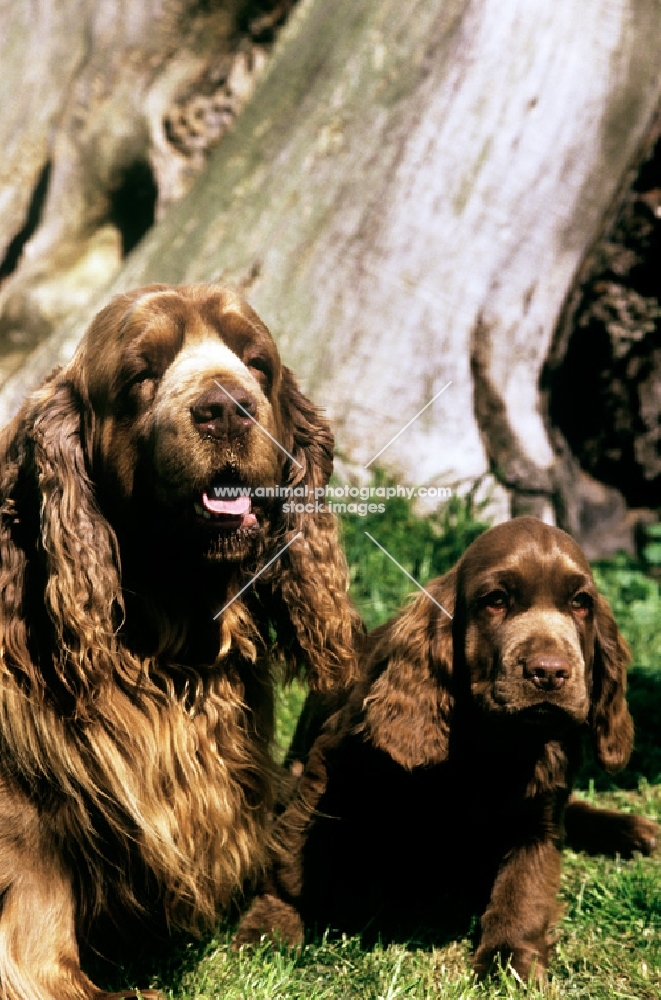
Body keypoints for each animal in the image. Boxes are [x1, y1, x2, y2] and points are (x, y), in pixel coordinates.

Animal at [236, 520, 656, 980]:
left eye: (581, 603)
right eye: (496, 600)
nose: (549, 672)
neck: (493, 741)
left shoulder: (542, 808)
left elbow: (526, 883)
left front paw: (511, 959)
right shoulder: (330, 767)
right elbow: (294, 856)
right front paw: (270, 925)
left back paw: (636, 831)